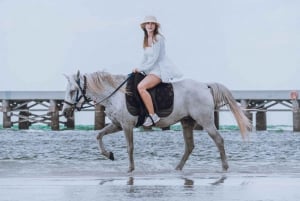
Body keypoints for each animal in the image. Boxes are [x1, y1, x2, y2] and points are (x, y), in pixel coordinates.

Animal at [62, 71, 251, 173]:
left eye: (72, 91)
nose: (65, 112)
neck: (116, 95)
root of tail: (205, 86)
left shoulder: (127, 126)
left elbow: (130, 147)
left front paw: (130, 169)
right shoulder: (117, 125)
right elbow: (98, 135)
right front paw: (109, 154)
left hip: (205, 121)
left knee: (218, 140)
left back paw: (225, 167)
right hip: (187, 122)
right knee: (189, 146)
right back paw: (177, 168)